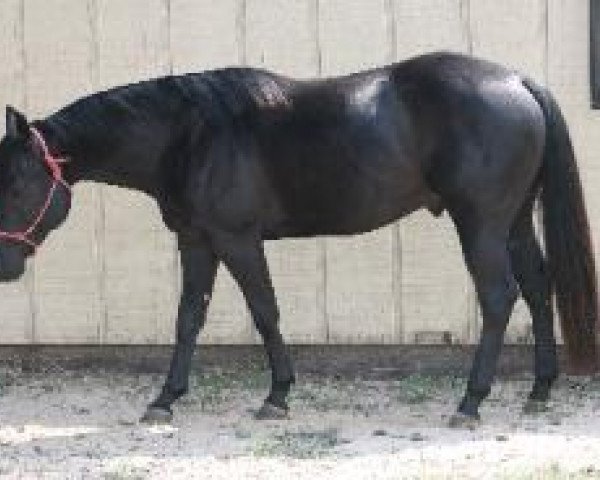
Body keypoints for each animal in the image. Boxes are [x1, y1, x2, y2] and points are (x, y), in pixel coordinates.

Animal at [0, 52, 596, 428]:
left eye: (17, 184)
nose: (6, 265)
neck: (191, 136)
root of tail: (519, 82)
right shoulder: (196, 240)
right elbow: (189, 316)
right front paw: (165, 399)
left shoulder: (237, 239)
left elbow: (265, 311)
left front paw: (277, 395)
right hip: (514, 220)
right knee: (537, 288)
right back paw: (539, 391)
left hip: (481, 223)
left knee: (499, 297)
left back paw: (470, 403)